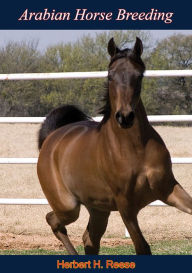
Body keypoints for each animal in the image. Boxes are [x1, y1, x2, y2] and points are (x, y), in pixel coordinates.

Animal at [37, 37, 192, 254]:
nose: (125, 117)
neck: (135, 148)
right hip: (68, 206)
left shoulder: (167, 188)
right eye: (110, 76)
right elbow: (142, 247)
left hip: (98, 209)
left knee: (89, 239)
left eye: (139, 75)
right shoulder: (125, 205)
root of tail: (52, 137)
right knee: (53, 220)